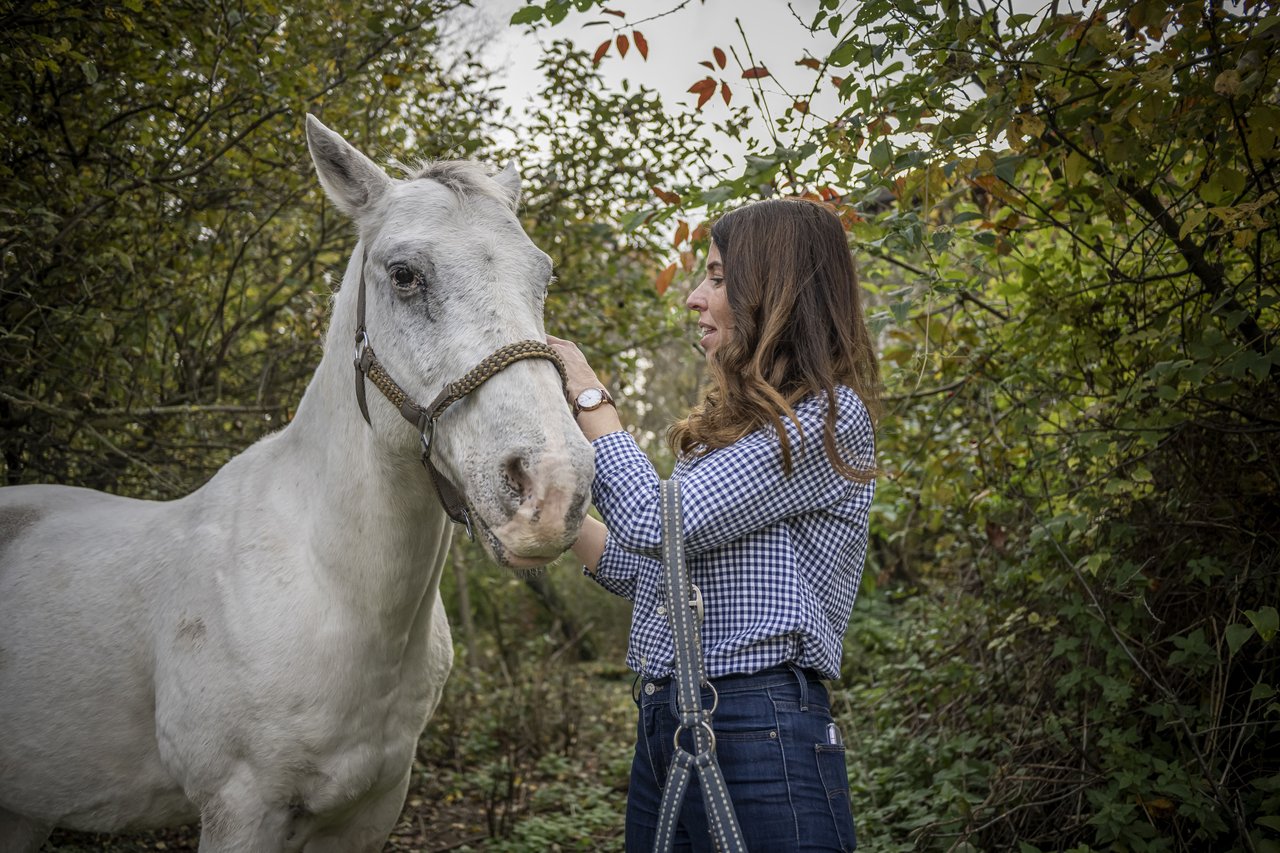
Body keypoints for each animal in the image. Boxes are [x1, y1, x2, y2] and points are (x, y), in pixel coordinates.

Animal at [0, 114, 593, 850]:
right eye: (405, 274)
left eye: (542, 275)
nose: (553, 487)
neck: (332, 590)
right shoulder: (240, 808)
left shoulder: (370, 811)